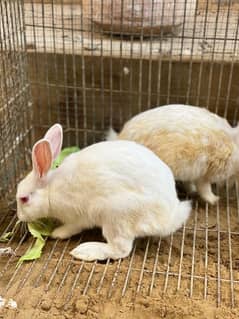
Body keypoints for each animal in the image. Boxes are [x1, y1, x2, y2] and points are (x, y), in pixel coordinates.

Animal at [15, 124, 191, 262]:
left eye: (24, 199)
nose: (19, 217)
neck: (51, 190)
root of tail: (167, 218)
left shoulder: (75, 217)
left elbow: (71, 228)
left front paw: (57, 233)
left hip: (116, 216)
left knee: (120, 250)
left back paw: (86, 251)